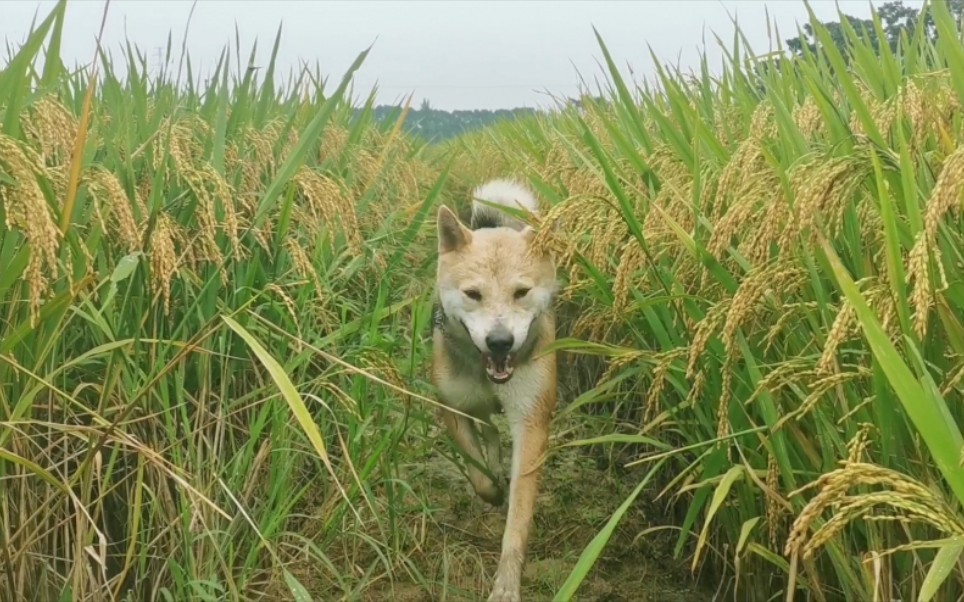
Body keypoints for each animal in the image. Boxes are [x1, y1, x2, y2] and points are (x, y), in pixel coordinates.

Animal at [430, 178, 556, 600]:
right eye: (473, 294)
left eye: (521, 292)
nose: (500, 341)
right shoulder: (452, 407)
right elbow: (478, 473)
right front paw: (492, 490)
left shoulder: (531, 424)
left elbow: (517, 521)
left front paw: (506, 585)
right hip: (475, 405)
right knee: (487, 430)